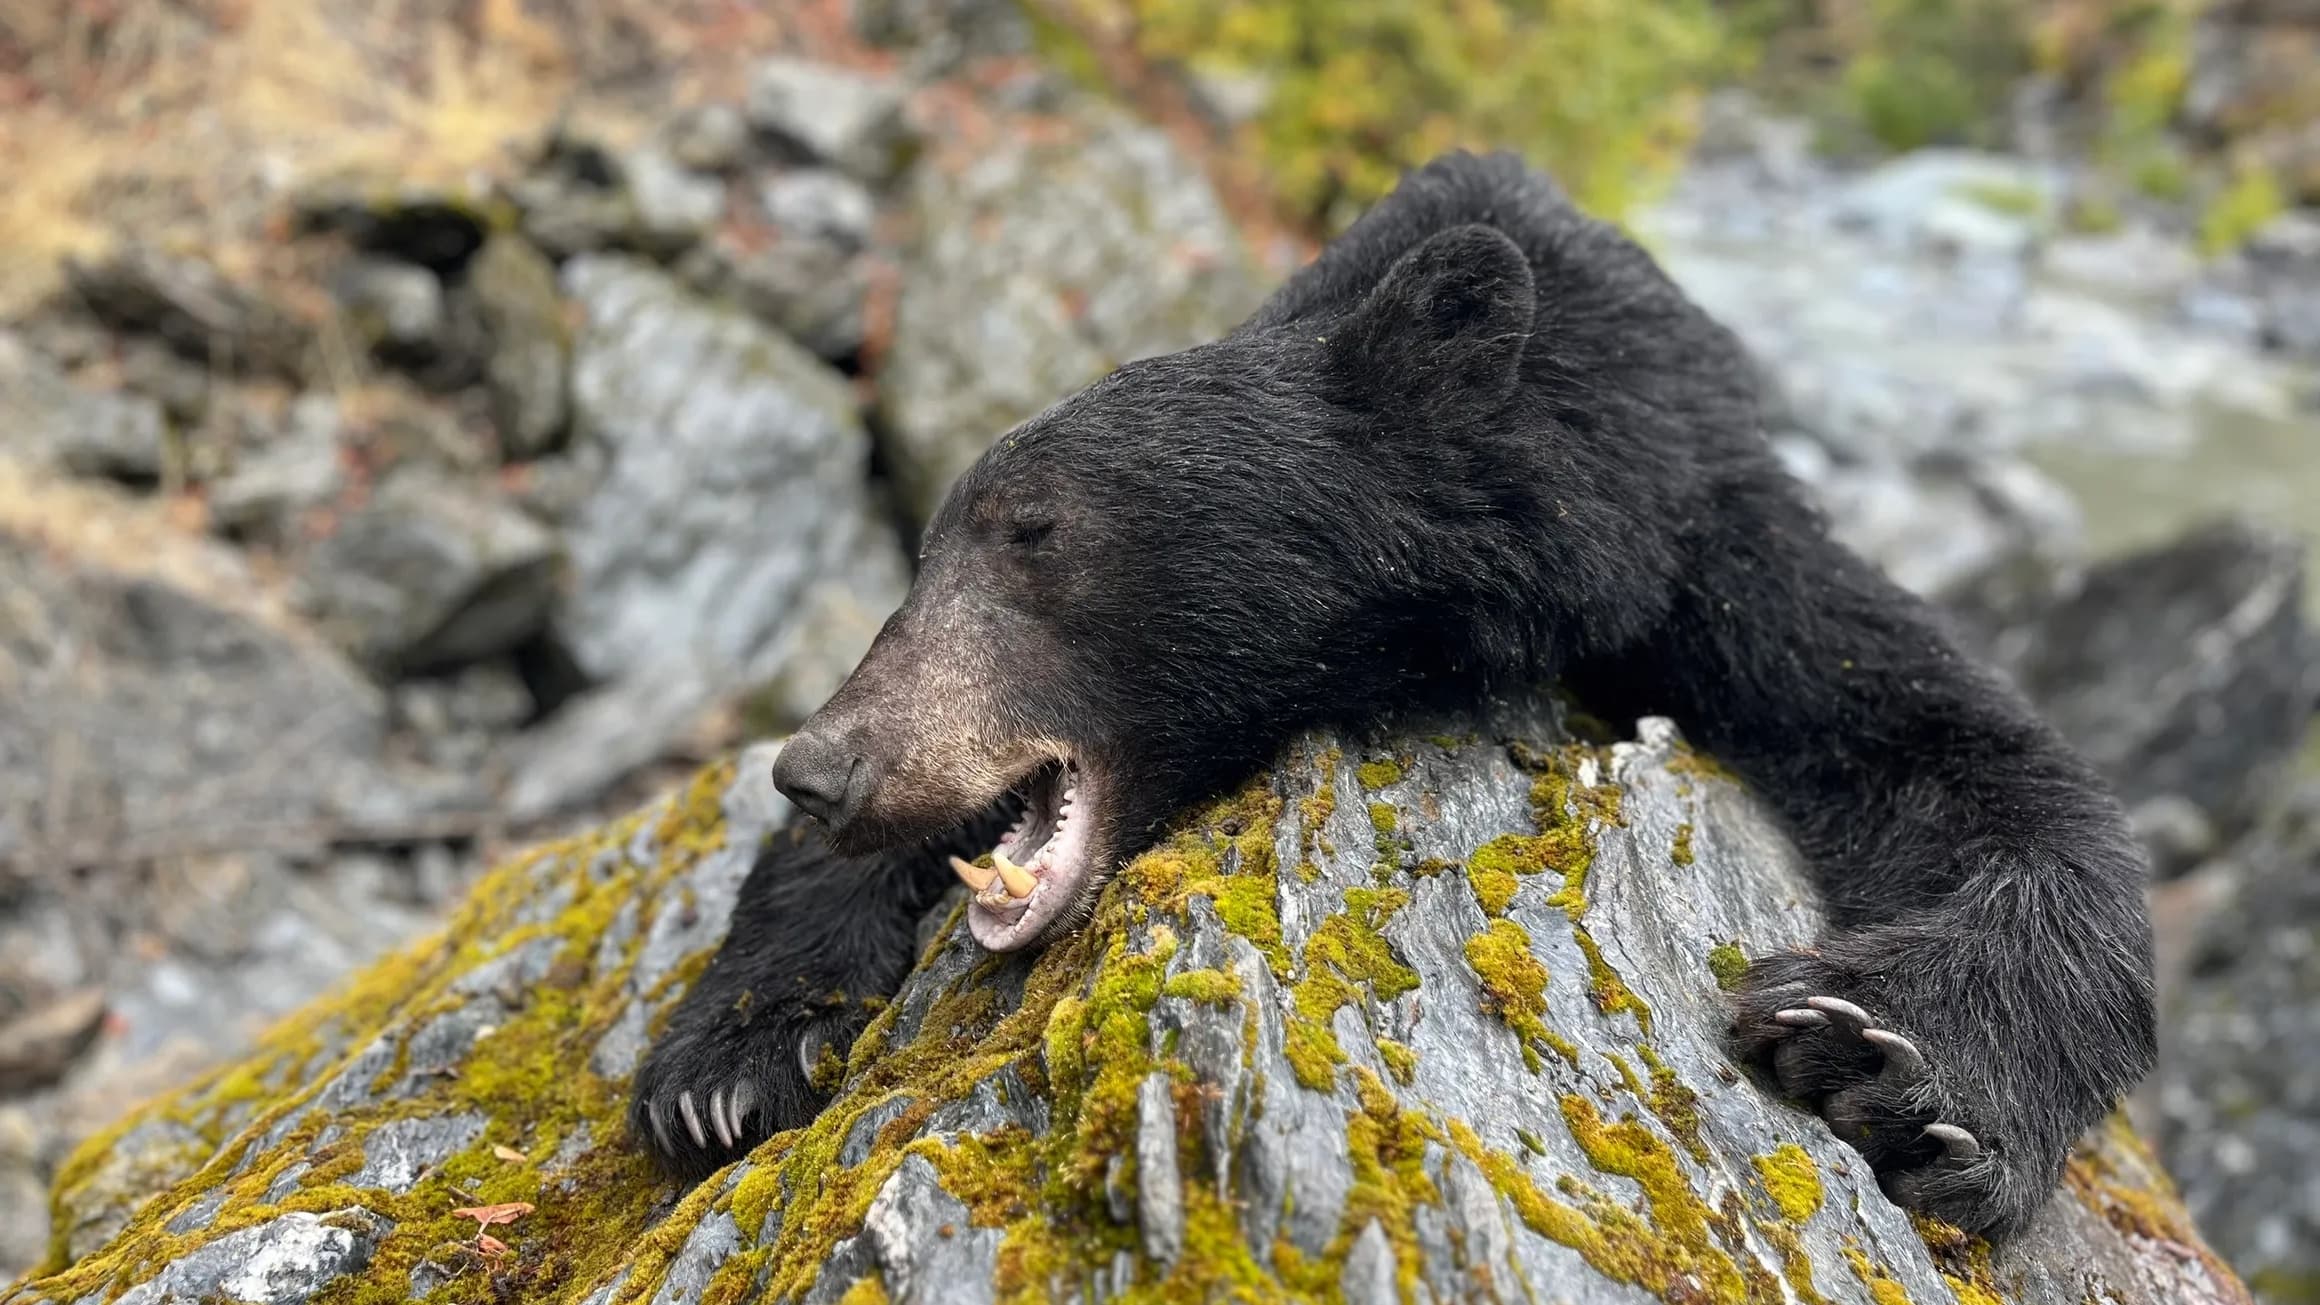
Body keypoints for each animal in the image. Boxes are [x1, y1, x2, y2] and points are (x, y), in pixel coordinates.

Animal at [629, 150, 2156, 1238]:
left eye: (1035, 530)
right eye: (924, 549)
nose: (820, 765)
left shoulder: (1708, 534)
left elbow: (1959, 747)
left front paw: (1899, 1064)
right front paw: (726, 1059)